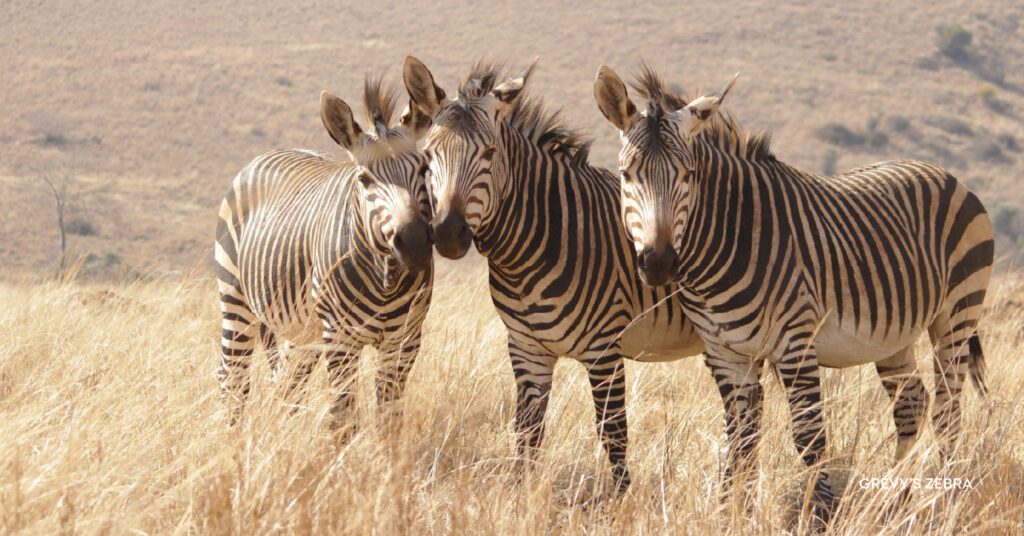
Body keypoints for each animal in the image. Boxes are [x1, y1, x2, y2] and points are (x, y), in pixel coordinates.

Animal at [215, 77, 435, 427]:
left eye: (424, 168)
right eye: (364, 179)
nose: (413, 242)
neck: (385, 280)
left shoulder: (406, 340)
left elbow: (389, 417)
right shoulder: (341, 339)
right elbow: (344, 417)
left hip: (302, 330)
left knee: (286, 383)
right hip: (235, 299)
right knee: (232, 377)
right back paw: (231, 434)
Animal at [402, 56, 704, 489]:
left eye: (489, 153)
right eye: (428, 156)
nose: (447, 233)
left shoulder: (604, 349)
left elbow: (613, 434)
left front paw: (623, 500)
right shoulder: (527, 348)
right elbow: (527, 432)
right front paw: (522, 493)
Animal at [594, 64, 994, 520]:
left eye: (688, 176)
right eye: (626, 175)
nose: (658, 263)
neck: (730, 239)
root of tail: (945, 173)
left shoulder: (795, 344)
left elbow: (808, 438)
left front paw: (821, 514)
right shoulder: (726, 353)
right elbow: (741, 439)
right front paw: (733, 514)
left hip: (957, 314)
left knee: (949, 411)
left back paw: (944, 501)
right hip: (895, 334)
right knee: (912, 403)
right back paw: (895, 499)